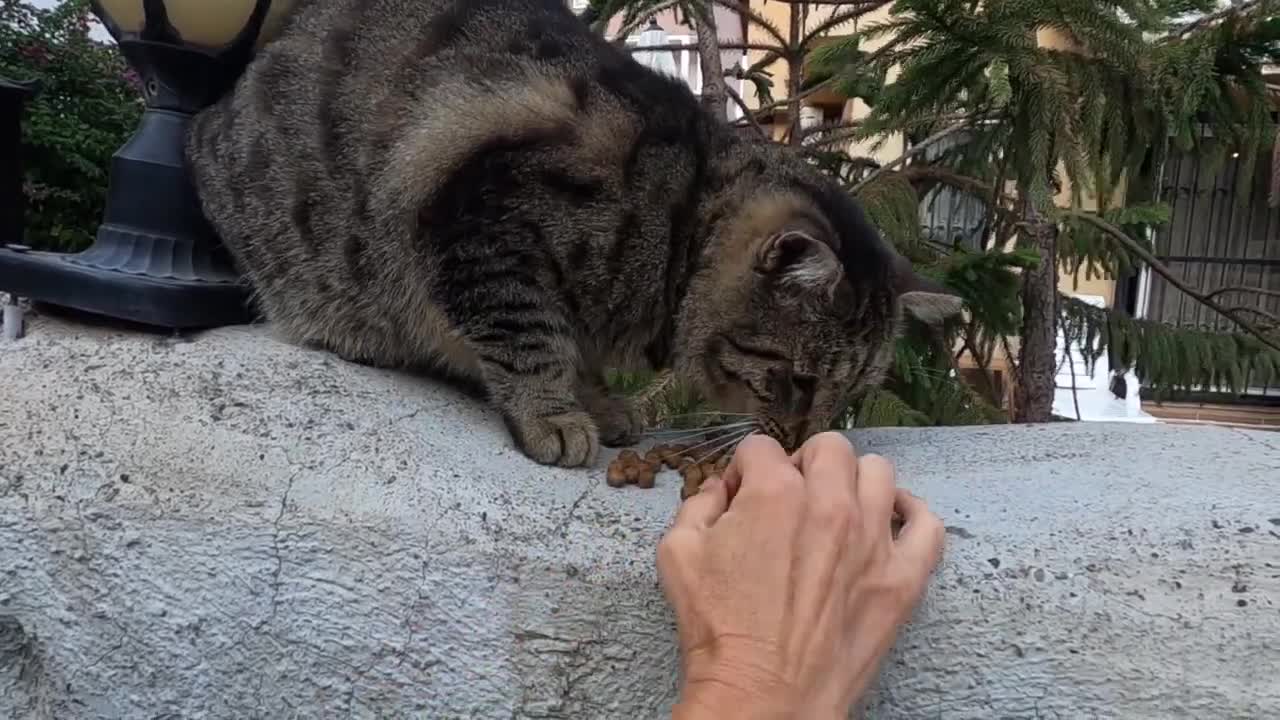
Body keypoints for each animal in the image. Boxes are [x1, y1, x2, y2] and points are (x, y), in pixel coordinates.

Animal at [183, 0, 962, 466]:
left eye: (851, 394)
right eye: (799, 379)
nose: (805, 447)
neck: (674, 223)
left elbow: (572, 347)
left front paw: (600, 402)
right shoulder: (486, 220)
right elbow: (530, 336)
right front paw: (554, 415)